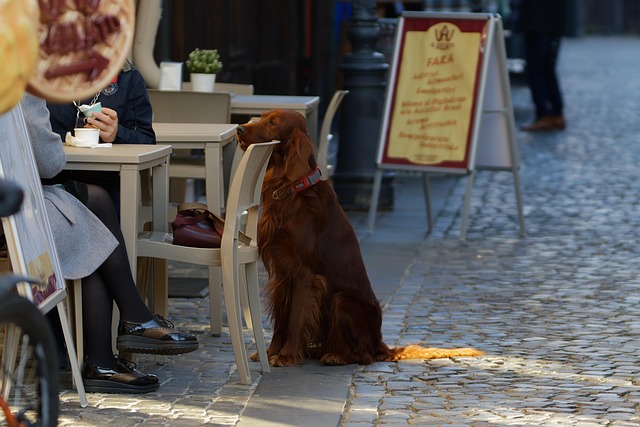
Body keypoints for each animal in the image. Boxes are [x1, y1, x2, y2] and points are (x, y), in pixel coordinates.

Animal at [238, 108, 482, 366]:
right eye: (262, 116)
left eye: (273, 123)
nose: (239, 129)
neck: (293, 191)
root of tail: (380, 343)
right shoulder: (283, 273)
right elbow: (280, 319)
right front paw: (271, 352)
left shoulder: (304, 274)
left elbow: (294, 319)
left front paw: (286, 355)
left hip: (342, 300)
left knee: (364, 356)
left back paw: (335, 356)